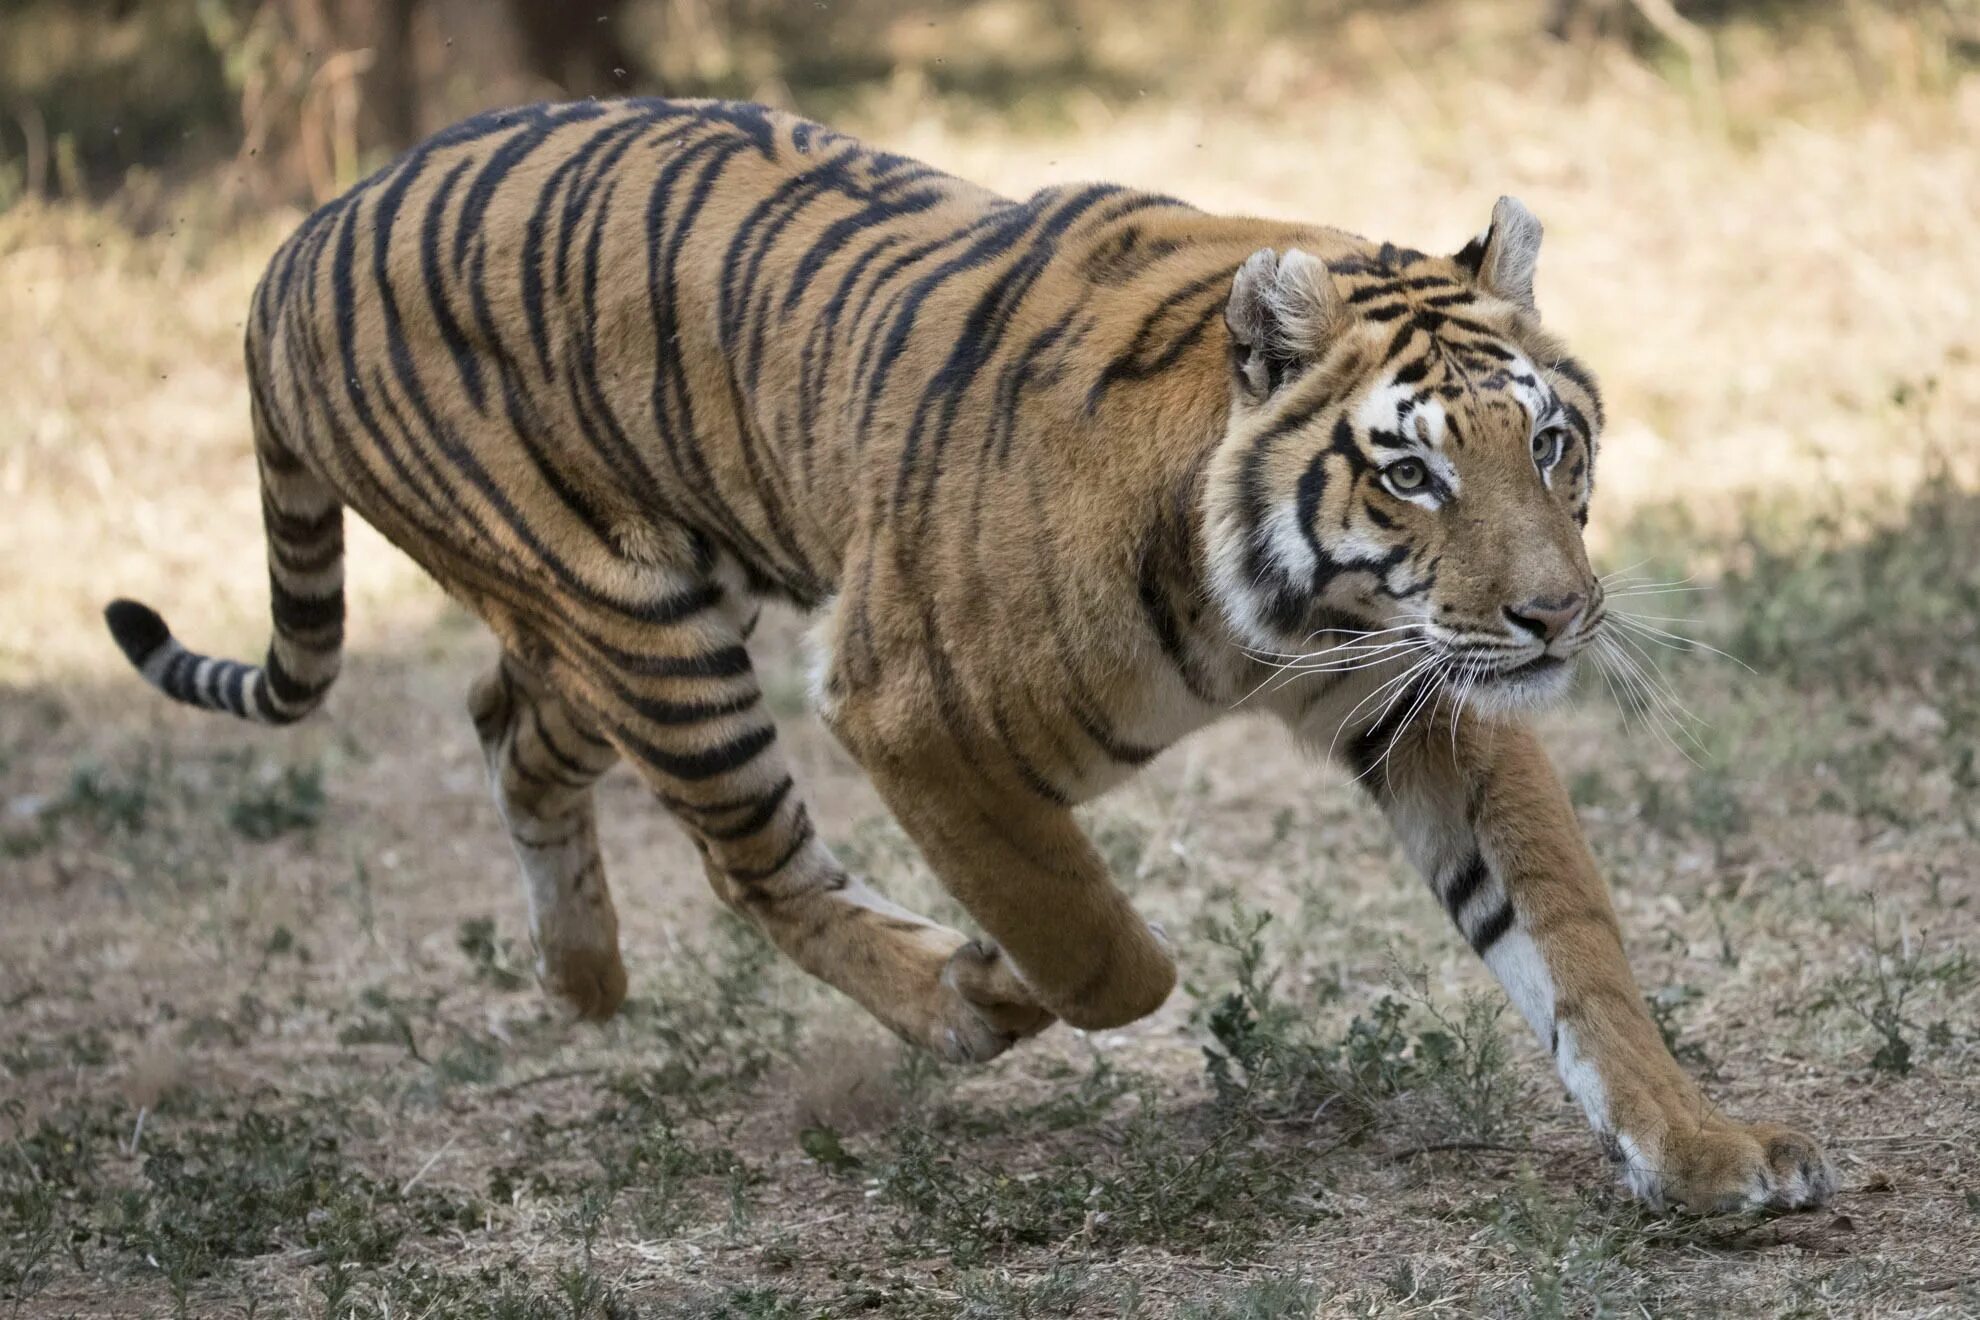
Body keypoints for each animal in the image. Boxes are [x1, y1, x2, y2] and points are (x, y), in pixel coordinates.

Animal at [100, 97, 1829, 1211]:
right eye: (1412, 474)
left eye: (1550, 445)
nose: (1555, 618)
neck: (1291, 616)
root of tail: (287, 251)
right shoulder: (904, 707)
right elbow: (1099, 944)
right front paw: (1005, 975)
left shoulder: (1422, 704)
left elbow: (1570, 940)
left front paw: (1702, 1150)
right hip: (652, 633)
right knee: (749, 862)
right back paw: (945, 1002)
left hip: (625, 603)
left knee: (502, 718)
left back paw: (585, 978)